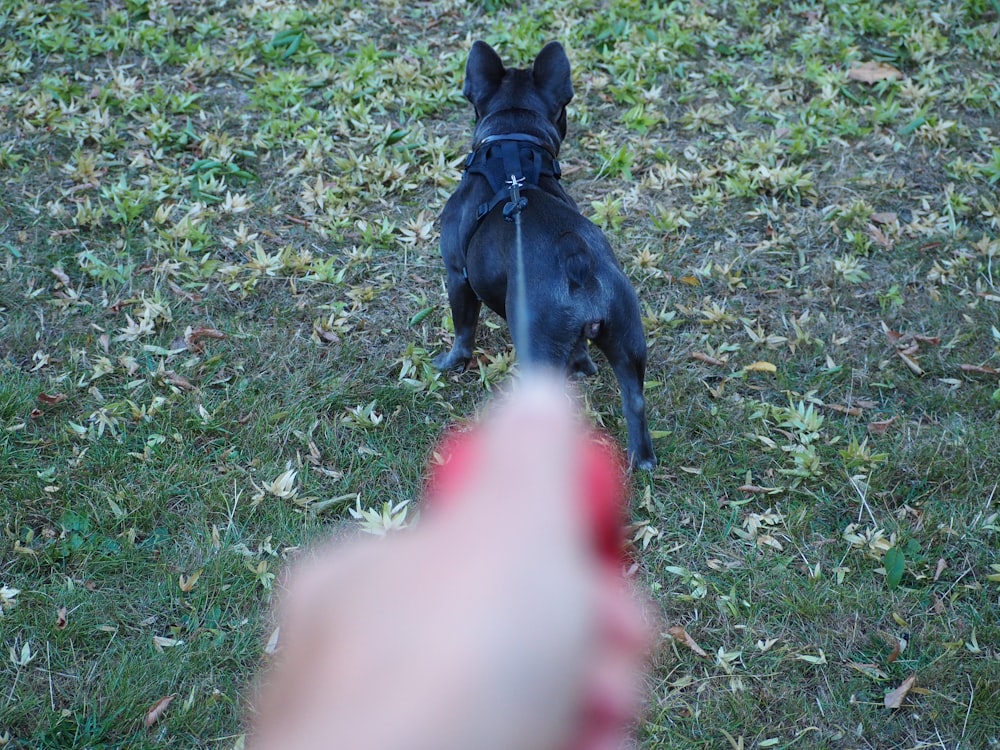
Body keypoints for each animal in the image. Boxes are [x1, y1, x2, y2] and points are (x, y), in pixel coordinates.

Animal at [436, 39, 656, 470]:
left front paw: (453, 363)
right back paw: (642, 459)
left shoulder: (457, 275)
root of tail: (577, 259)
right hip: (627, 335)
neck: (512, 145)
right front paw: (583, 367)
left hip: (537, 346)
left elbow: (463, 328)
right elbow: (581, 351)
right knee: (635, 400)